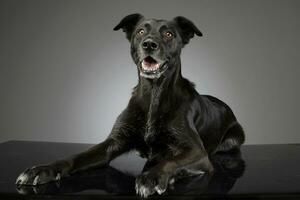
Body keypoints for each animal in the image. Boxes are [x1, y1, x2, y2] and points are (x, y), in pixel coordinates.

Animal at [15, 13, 244, 198]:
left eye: (168, 34)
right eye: (141, 31)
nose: (149, 44)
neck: (153, 94)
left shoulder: (197, 151)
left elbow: (172, 161)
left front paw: (153, 177)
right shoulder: (113, 142)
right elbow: (76, 156)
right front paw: (43, 169)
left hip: (233, 139)